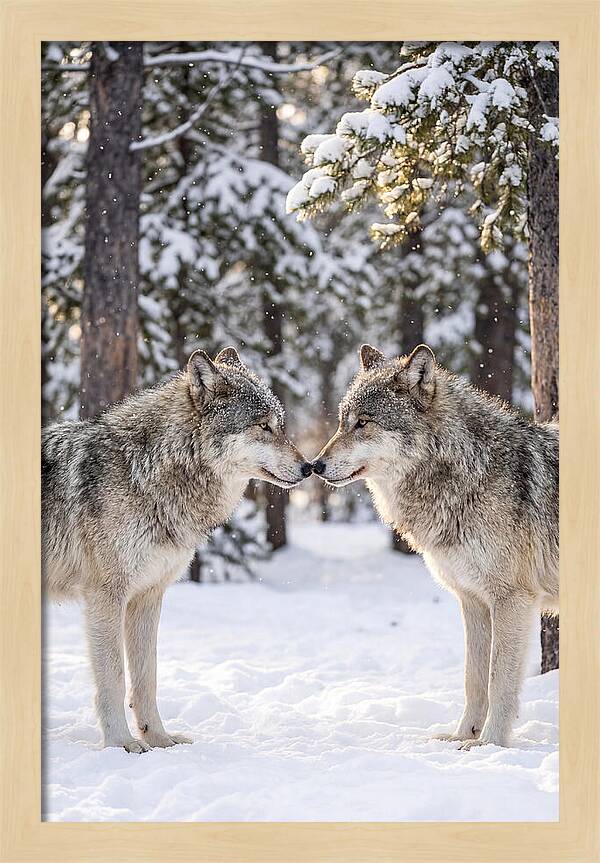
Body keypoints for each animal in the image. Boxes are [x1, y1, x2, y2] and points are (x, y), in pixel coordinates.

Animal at [43, 347, 312, 752]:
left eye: (280, 426)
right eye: (263, 426)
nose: (310, 466)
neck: (145, 473)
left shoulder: (148, 596)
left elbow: (146, 678)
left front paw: (159, 738)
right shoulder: (106, 596)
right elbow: (114, 677)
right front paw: (121, 743)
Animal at [313, 343, 558, 748]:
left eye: (363, 423)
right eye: (342, 422)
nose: (314, 465)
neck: (469, 473)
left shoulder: (513, 600)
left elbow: (499, 682)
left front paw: (489, 744)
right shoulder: (473, 601)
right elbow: (473, 679)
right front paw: (461, 735)